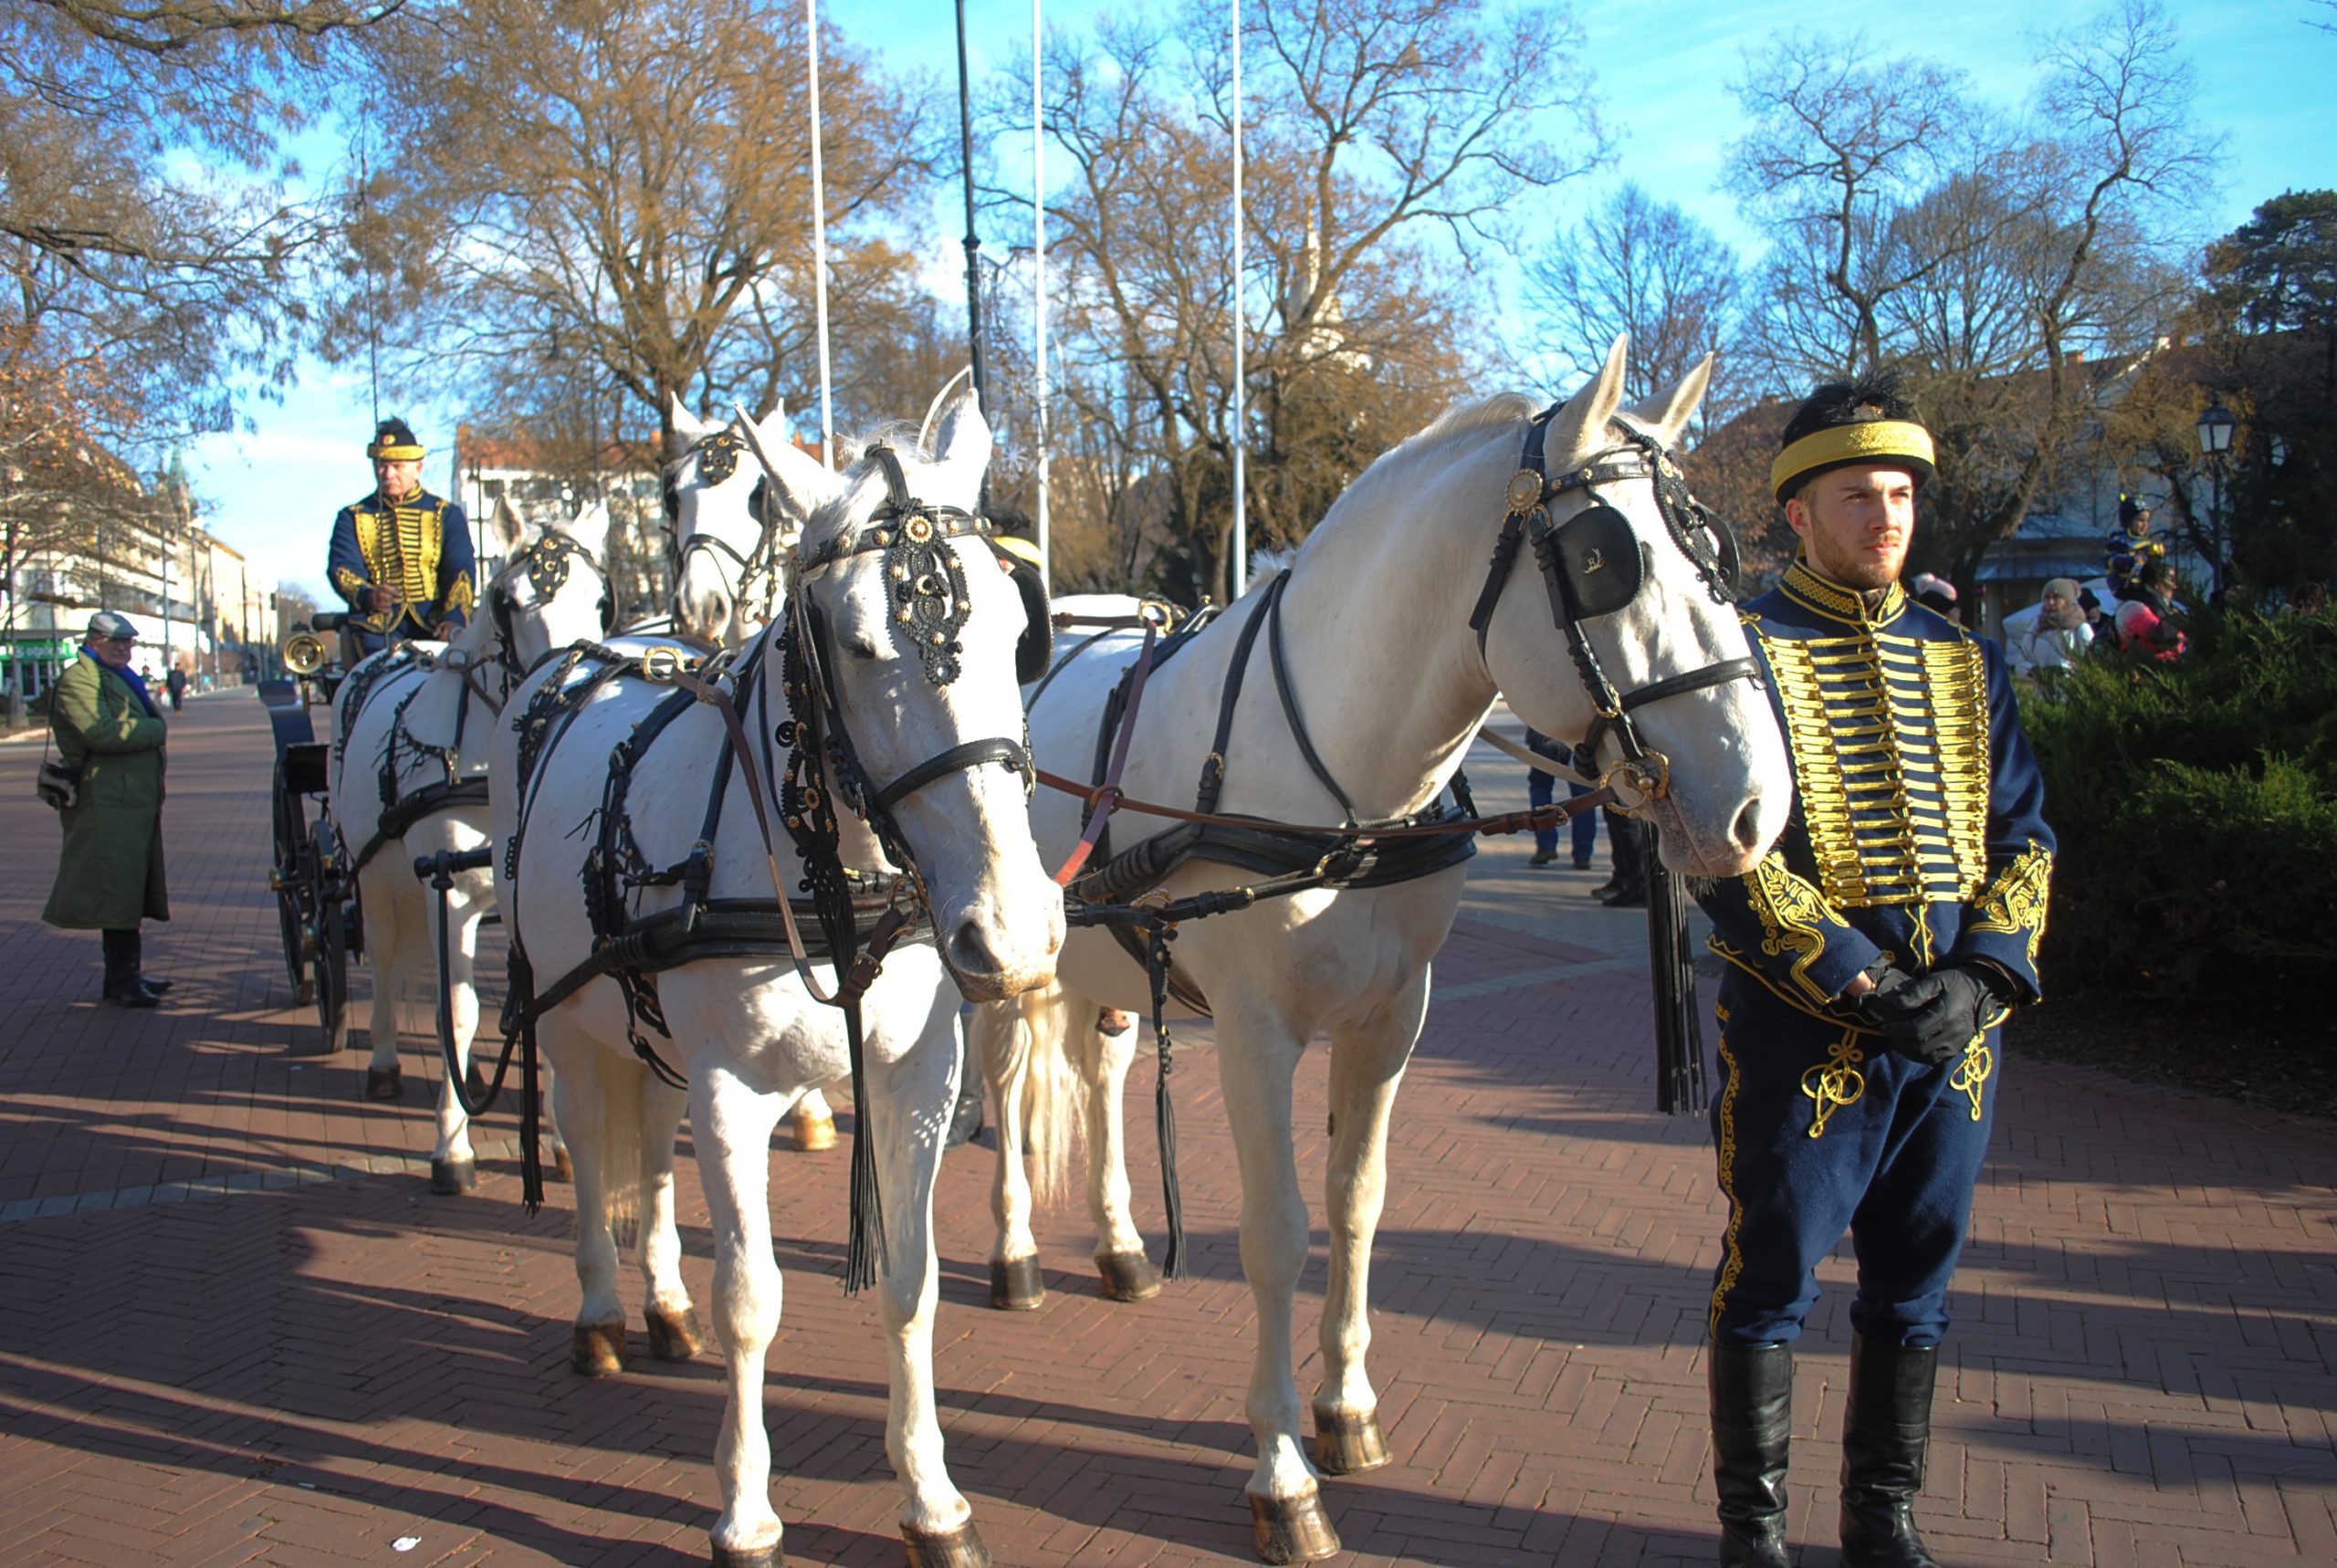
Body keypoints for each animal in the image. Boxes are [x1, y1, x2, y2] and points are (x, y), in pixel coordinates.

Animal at [334, 502, 621, 1191]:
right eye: (508, 601)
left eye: (601, 600)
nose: (568, 691)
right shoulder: (451, 899)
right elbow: (456, 1014)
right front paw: (451, 1148)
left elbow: (539, 1008)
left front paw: (561, 1142)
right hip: (375, 882)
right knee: (381, 958)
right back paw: (384, 1061)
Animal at [498, 390, 1070, 1568]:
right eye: (853, 642)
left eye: (1016, 627)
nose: (1016, 930)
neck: (827, 873)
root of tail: (584, 657)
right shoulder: (731, 1091)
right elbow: (752, 1299)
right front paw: (745, 1510)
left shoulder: (916, 1076)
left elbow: (910, 1279)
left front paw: (932, 1496)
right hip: (570, 1024)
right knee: (586, 1145)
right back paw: (601, 1312)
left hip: (649, 1034)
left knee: (648, 1154)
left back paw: (662, 1306)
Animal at [977, 340, 1795, 1561]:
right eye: (1607, 559)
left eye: (1723, 554)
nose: (1756, 807)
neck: (1345, 778)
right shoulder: (1257, 1034)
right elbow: (1276, 1230)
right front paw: (1281, 1472)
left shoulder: (1390, 1018)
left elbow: (1356, 1202)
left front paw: (1348, 1409)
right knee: (999, 1082)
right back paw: (1016, 1255)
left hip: (1109, 963)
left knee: (1101, 1071)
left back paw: (1121, 1244)